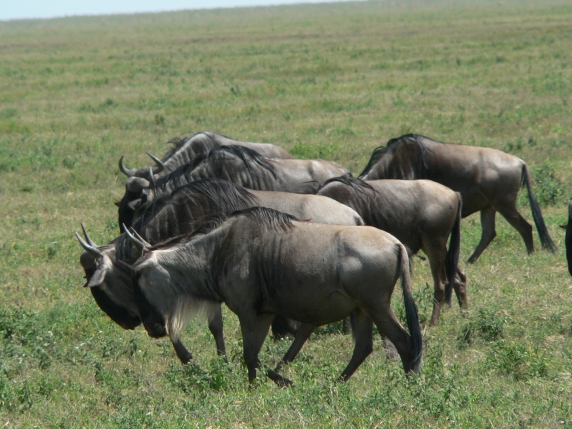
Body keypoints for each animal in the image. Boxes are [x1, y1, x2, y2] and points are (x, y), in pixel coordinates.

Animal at [77, 179, 363, 365]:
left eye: (98, 286)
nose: (127, 322)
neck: (183, 216)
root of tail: (352, 215)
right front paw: (191, 359)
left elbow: (213, 325)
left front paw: (216, 360)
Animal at [129, 207, 422, 386]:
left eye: (138, 278)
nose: (152, 328)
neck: (219, 250)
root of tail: (395, 243)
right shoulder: (264, 313)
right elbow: (253, 355)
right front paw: (255, 386)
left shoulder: (247, 311)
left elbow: (249, 354)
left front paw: (281, 382)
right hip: (363, 309)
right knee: (363, 347)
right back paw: (335, 384)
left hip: (377, 306)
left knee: (404, 341)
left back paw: (410, 385)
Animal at [317, 176, 463, 325]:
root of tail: (454, 193)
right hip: (437, 248)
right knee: (458, 277)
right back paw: (464, 312)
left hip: (434, 245)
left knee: (441, 284)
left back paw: (433, 323)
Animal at [359, 134, 556, 263]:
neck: (395, 163)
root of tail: (519, 161)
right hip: (489, 207)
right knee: (489, 233)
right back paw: (469, 261)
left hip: (504, 205)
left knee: (525, 226)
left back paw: (530, 255)